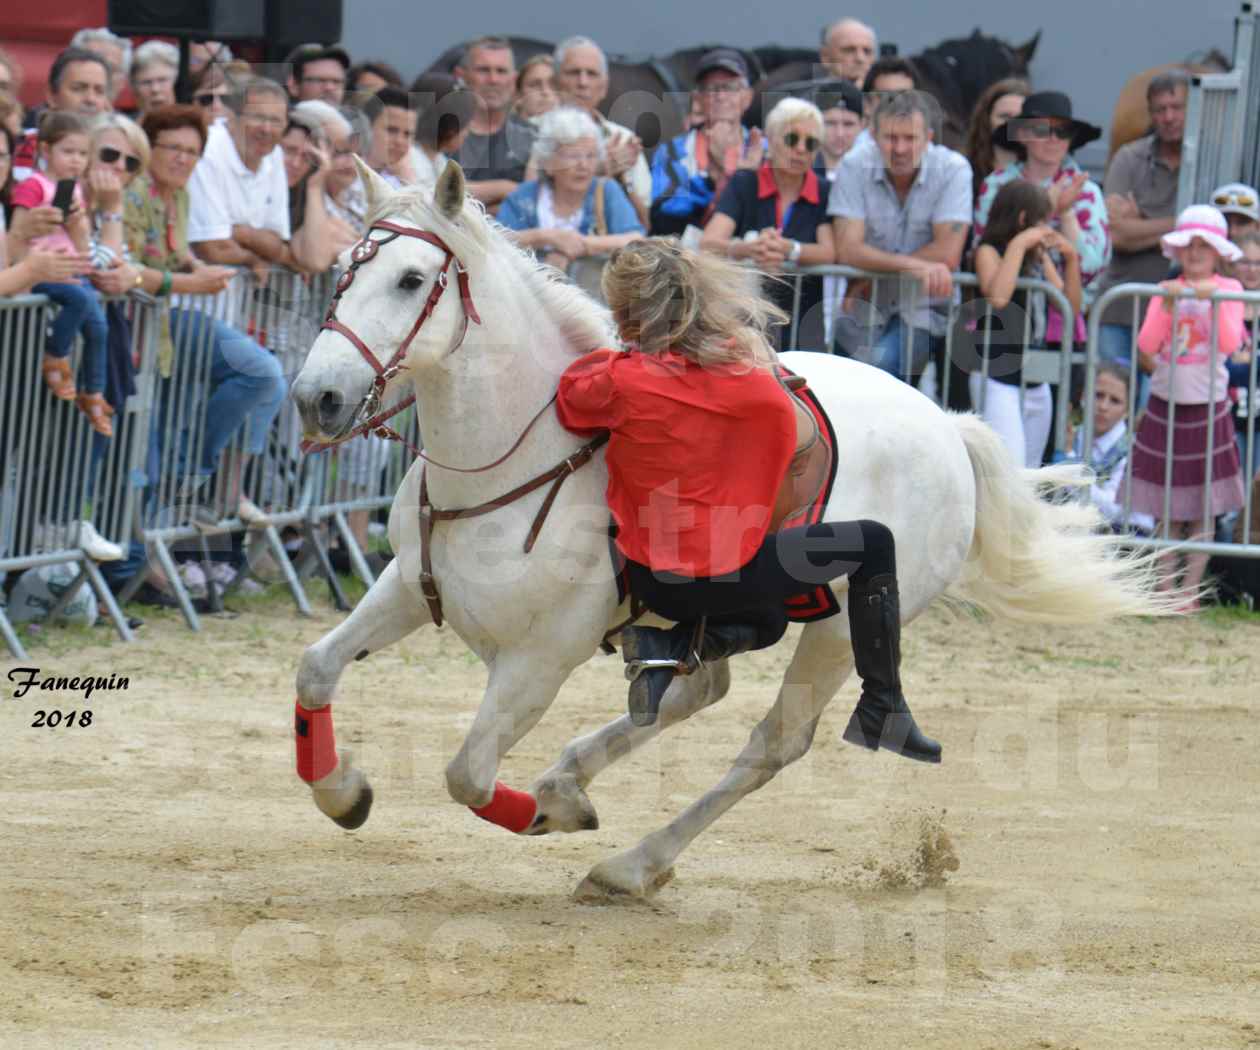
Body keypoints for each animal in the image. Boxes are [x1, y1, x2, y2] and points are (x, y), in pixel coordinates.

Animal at [289, 160, 1164, 897]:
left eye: (411, 279)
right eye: (345, 272)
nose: (315, 398)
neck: (520, 454)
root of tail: (946, 422)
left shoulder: (541, 659)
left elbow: (467, 774)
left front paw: (545, 816)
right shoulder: (407, 588)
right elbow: (316, 669)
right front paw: (343, 792)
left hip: (834, 631)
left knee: (771, 743)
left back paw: (632, 861)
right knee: (696, 690)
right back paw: (574, 783)